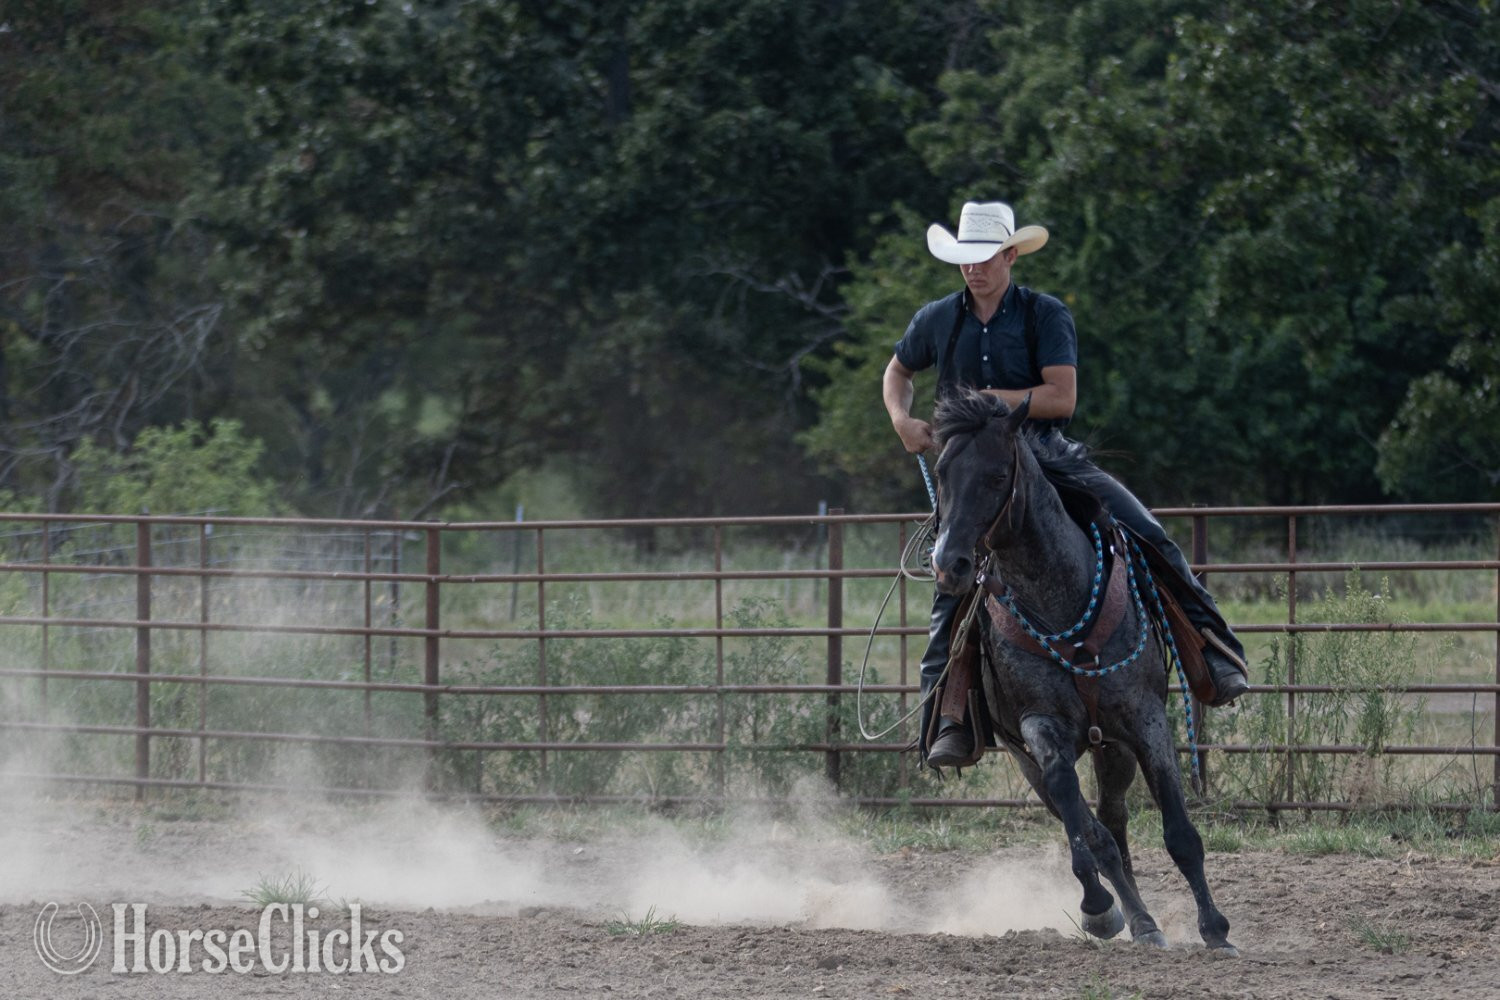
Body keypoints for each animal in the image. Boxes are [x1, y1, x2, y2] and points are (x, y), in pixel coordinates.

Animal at [928, 387, 1236, 955]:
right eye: (941, 473)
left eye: (997, 476)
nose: (948, 565)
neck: (1062, 603)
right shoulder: (1039, 725)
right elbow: (1079, 819)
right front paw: (1097, 909)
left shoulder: (1145, 718)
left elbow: (1180, 832)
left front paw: (1216, 929)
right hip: (1038, 757)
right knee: (1095, 827)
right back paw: (1133, 918)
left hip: (1114, 749)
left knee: (1114, 817)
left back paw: (1146, 921)